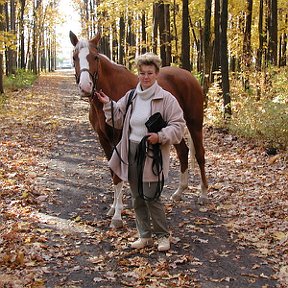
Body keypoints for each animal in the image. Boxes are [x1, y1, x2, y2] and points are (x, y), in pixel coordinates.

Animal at [69, 31, 208, 228]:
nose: (85, 87)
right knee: (183, 152)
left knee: (200, 155)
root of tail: (189, 76)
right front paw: (114, 207)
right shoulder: (104, 139)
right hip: (174, 128)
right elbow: (114, 172)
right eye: (74, 57)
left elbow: (118, 175)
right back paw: (179, 192)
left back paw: (203, 194)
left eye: (95, 57)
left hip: (194, 123)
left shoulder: (118, 138)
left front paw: (117, 216)